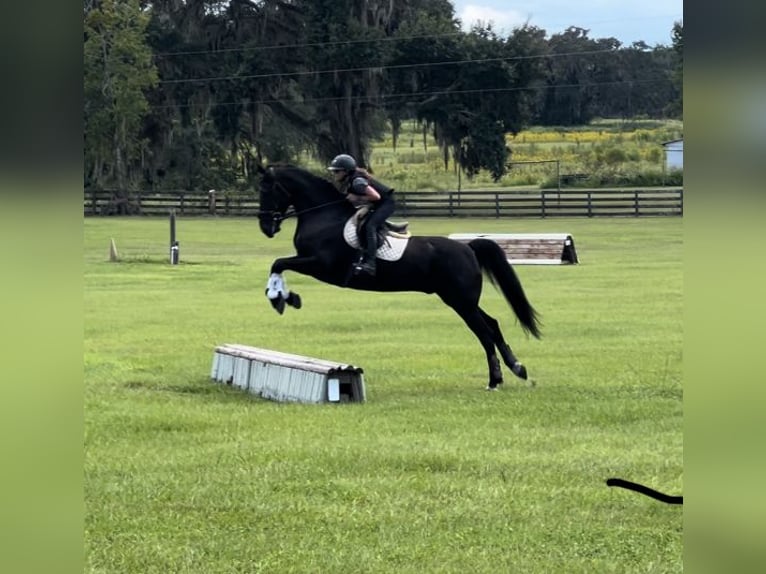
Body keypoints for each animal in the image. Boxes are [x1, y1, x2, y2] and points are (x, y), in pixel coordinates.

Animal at [256, 164, 542, 390]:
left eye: (267, 191)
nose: (266, 228)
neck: (323, 216)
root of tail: (468, 247)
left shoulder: (321, 265)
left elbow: (278, 263)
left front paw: (279, 297)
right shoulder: (312, 264)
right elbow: (279, 264)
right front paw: (285, 297)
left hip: (460, 301)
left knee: (484, 332)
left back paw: (495, 380)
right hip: (461, 300)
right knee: (492, 325)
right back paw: (517, 368)